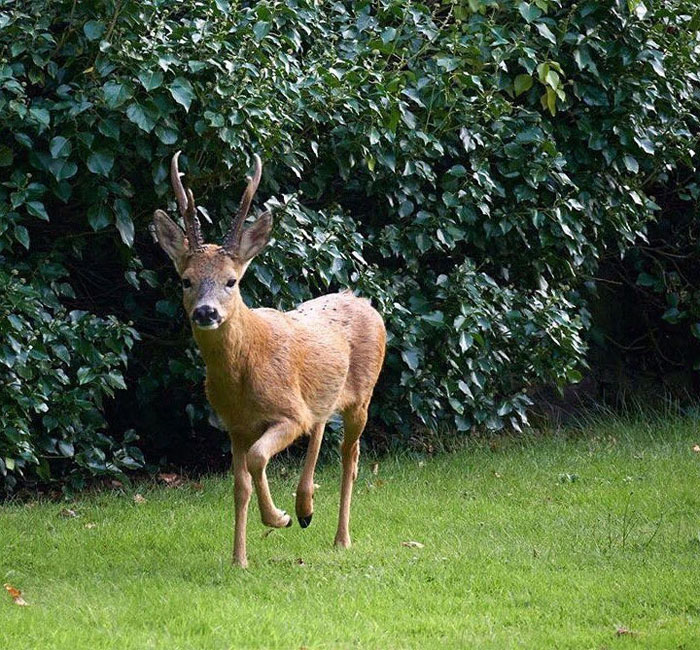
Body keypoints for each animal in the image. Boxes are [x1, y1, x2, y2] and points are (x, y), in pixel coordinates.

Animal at [151, 149, 388, 564]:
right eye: (186, 280)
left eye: (232, 281)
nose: (206, 312)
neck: (243, 376)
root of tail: (365, 302)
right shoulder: (234, 426)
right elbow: (240, 486)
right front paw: (239, 559)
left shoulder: (287, 414)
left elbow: (259, 458)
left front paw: (278, 518)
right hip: (323, 394)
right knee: (321, 423)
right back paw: (305, 508)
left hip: (363, 394)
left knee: (351, 456)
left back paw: (339, 536)